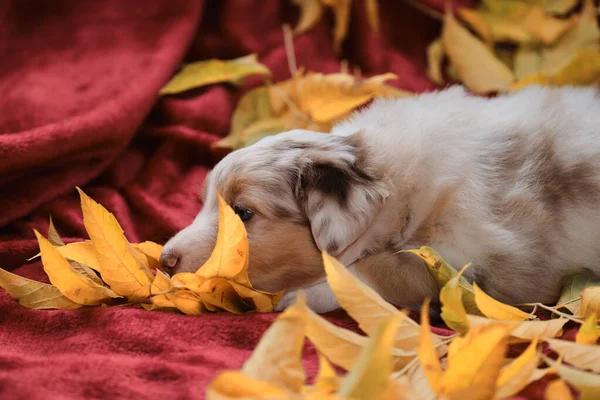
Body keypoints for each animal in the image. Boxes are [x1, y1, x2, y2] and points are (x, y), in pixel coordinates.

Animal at [158, 86, 600, 314]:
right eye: (203, 202)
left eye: (243, 213)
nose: (164, 261)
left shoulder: (474, 261)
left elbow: (376, 269)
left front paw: (299, 297)